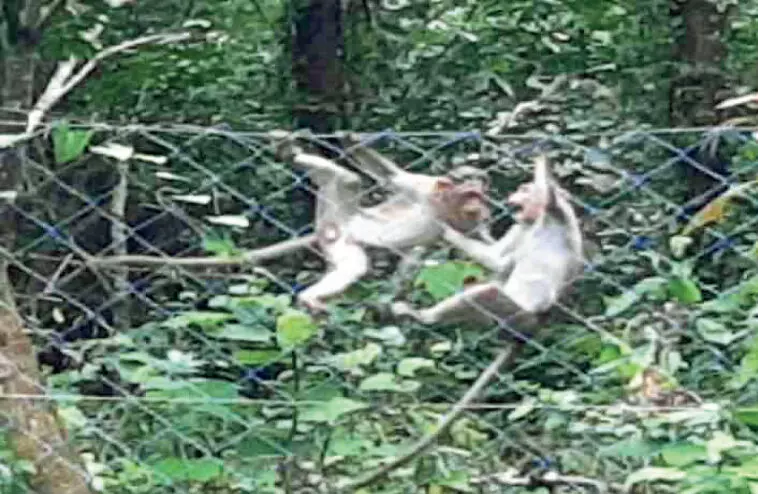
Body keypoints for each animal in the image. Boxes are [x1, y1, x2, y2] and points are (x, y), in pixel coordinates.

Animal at [271, 130, 493, 313]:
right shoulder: (425, 186)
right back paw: (287, 152)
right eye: (468, 194)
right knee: (349, 180)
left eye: (479, 195)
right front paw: (350, 139)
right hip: (338, 211)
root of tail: (331, 227)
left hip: (336, 234)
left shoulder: (472, 223)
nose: (478, 204)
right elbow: (392, 176)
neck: (443, 208)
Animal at [340, 155, 584, 492]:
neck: (537, 221)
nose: (514, 196)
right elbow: (500, 261)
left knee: (487, 292)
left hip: (519, 316)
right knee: (484, 284)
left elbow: (543, 197)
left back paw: (422, 316)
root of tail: (534, 327)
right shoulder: (523, 225)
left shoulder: (553, 212)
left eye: (522, 190)